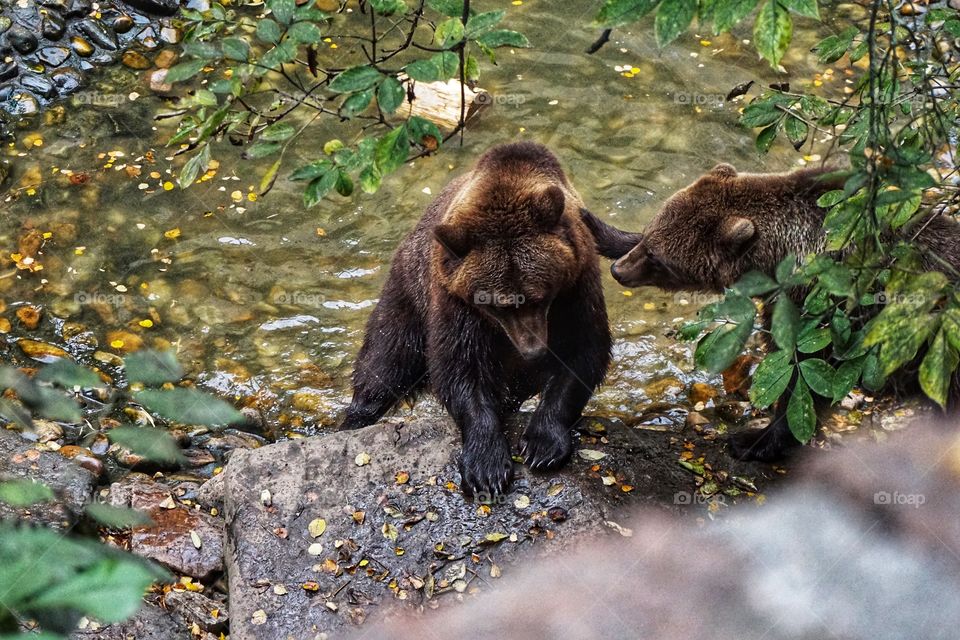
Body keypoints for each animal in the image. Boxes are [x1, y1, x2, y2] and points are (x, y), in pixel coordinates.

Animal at [340, 142, 608, 498]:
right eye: (496, 305)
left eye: (539, 296)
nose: (533, 351)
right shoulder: (456, 302)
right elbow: (461, 368)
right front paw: (487, 466)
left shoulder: (576, 287)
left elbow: (583, 352)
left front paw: (542, 445)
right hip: (408, 294)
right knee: (386, 360)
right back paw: (355, 418)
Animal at [580, 165, 960, 462]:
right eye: (649, 236)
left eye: (658, 258)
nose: (618, 270)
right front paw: (595, 225)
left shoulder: (820, 306)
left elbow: (801, 375)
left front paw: (755, 441)